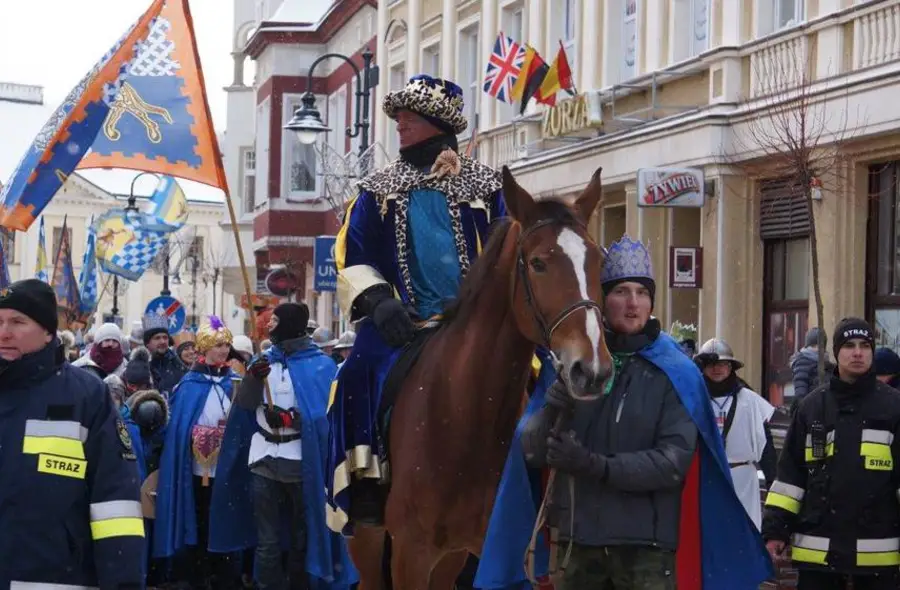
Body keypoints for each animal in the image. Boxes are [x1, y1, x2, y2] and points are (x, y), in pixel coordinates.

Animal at [346, 165, 612, 590]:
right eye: (537, 263)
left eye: (598, 262)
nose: (591, 370)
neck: (466, 414)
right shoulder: (411, 553)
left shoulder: (497, 550)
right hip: (368, 542)